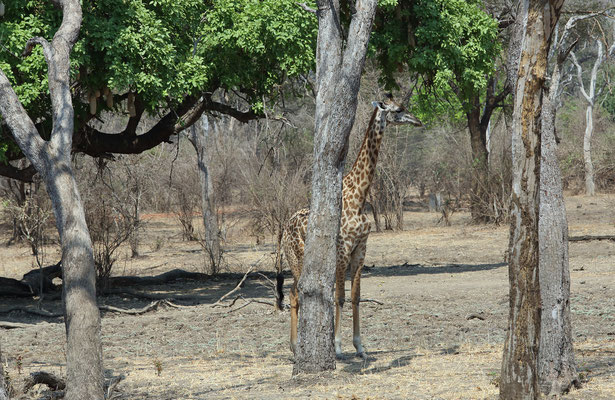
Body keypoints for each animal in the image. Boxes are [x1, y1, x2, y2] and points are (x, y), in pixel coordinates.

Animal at [276, 94, 424, 360]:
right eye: (398, 109)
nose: (417, 121)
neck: (359, 198)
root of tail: (284, 230)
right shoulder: (343, 250)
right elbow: (340, 298)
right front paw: (337, 347)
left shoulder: (361, 248)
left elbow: (356, 297)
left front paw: (360, 346)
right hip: (296, 259)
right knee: (295, 293)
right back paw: (294, 346)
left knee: (296, 292)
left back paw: (296, 346)